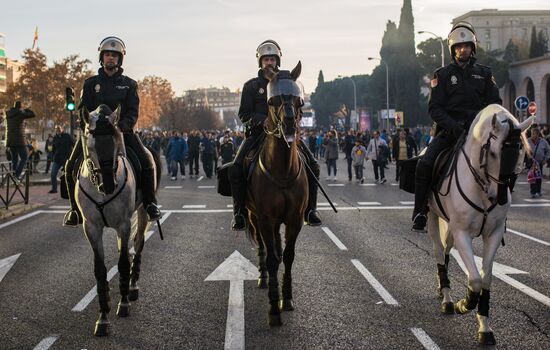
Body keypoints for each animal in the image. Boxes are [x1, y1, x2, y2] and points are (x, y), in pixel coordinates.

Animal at [76, 106, 161, 336]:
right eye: (90, 147)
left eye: (116, 143)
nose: (108, 185)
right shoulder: (91, 227)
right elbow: (100, 269)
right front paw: (103, 316)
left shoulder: (123, 224)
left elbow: (123, 263)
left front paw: (123, 304)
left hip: (142, 211)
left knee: (138, 243)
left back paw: (132, 287)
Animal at [430, 103, 536, 344]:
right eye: (494, 152)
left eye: (520, 151)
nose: (500, 198)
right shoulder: (462, 233)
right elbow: (475, 280)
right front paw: (464, 303)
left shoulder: (493, 234)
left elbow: (485, 278)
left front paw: (484, 328)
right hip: (432, 217)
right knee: (440, 253)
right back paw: (447, 300)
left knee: (447, 252)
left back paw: (443, 289)